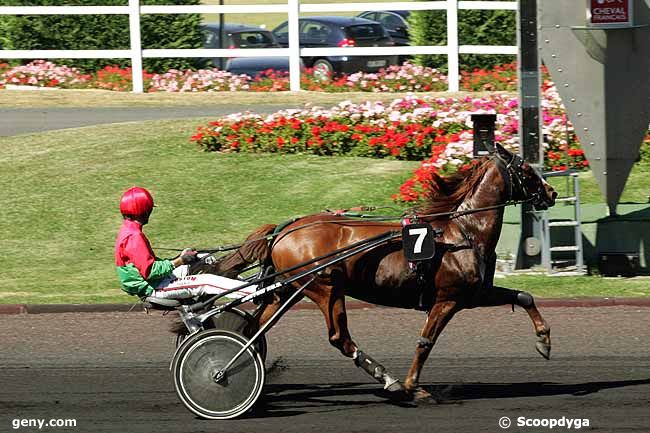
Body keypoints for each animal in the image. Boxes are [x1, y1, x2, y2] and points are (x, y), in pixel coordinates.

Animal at [206, 144, 552, 398]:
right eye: (526, 168)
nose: (551, 192)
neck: (463, 232)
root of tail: (285, 229)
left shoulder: (475, 294)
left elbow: (523, 296)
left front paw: (544, 341)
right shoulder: (448, 298)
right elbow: (425, 342)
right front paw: (414, 386)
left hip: (289, 289)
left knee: (253, 329)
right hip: (325, 288)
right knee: (339, 337)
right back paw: (388, 378)